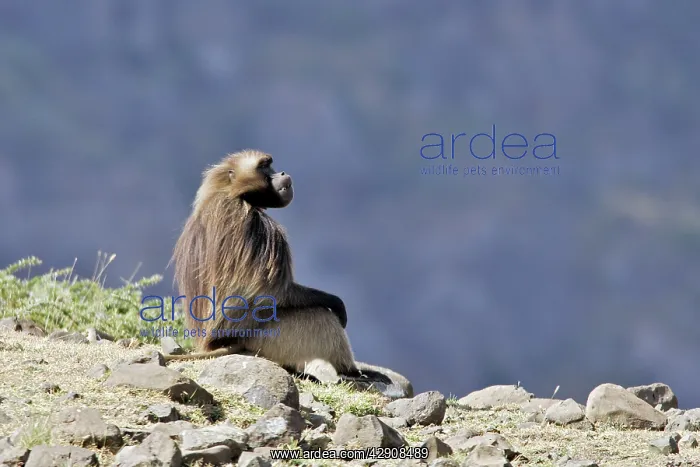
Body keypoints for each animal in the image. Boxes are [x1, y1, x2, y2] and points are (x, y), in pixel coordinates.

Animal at [165, 150, 358, 376]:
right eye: (264, 166)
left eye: (271, 165)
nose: (282, 172)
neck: (232, 193)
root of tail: (214, 344)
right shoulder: (260, 228)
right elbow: (273, 292)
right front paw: (336, 303)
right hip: (263, 336)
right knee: (321, 316)